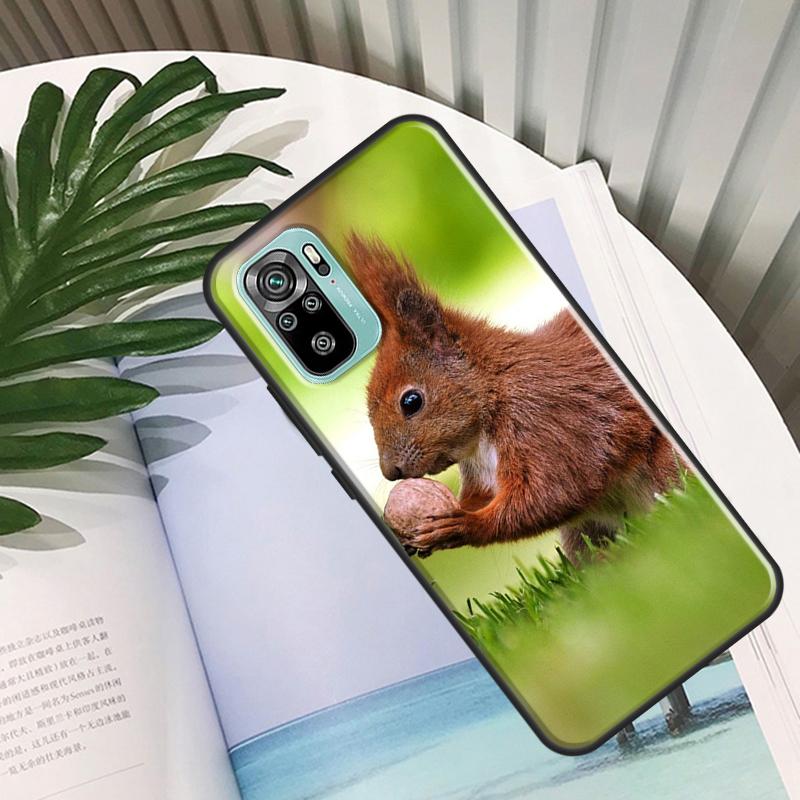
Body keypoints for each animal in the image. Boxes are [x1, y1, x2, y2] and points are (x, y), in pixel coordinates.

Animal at [346, 234, 683, 562]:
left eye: (411, 401)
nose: (391, 472)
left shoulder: (548, 420)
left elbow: (554, 490)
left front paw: (463, 525)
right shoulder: (483, 472)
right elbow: (483, 497)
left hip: (664, 465)